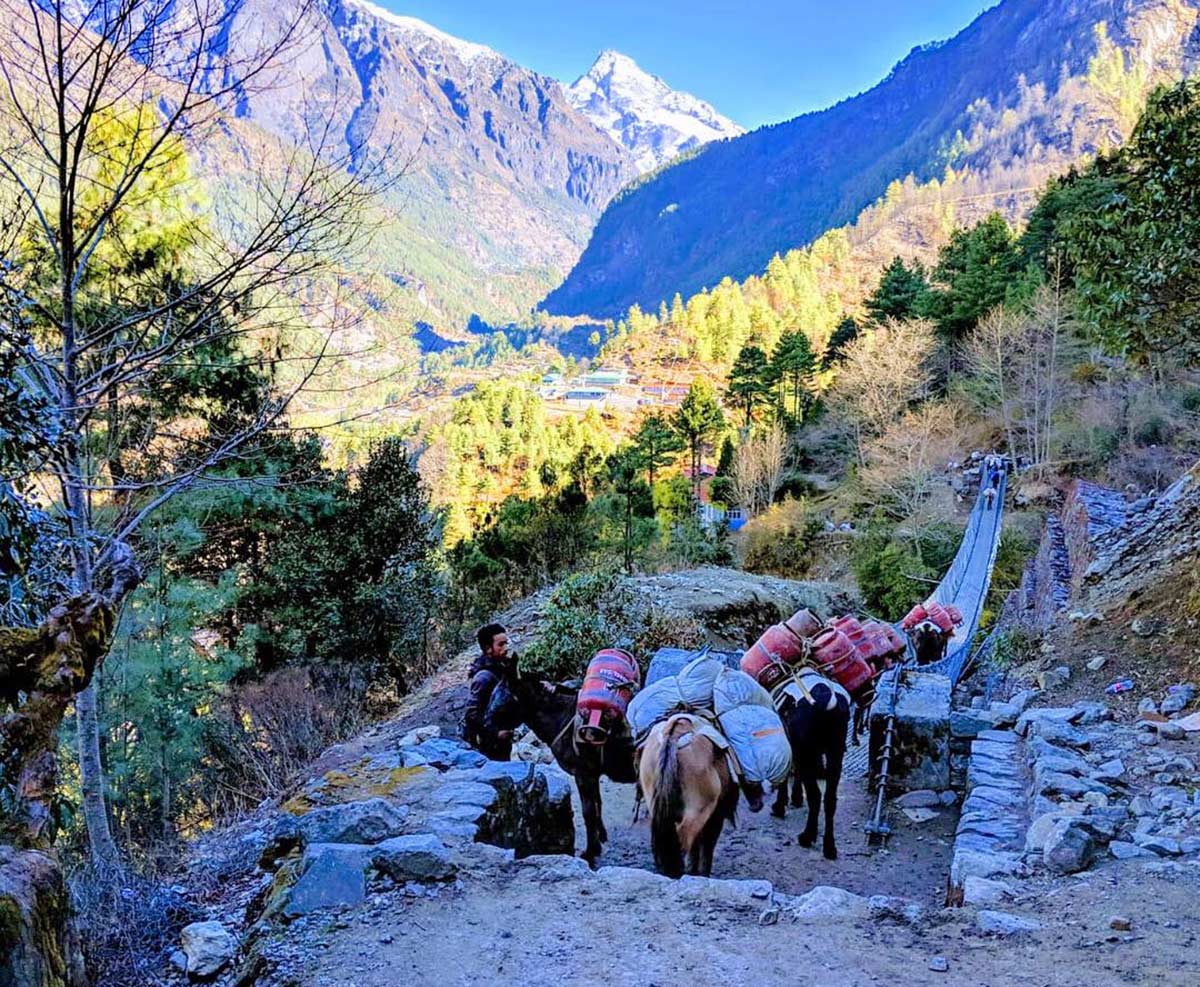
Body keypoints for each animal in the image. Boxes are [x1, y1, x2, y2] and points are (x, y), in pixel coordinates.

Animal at [484, 677, 643, 869]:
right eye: (492, 695)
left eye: (507, 701)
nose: (485, 725)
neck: (563, 718)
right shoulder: (592, 773)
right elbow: (597, 803)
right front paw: (600, 838)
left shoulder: (583, 774)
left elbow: (588, 812)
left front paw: (590, 853)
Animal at [643, 715, 734, 878]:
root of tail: (672, 736)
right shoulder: (715, 816)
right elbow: (706, 845)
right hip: (697, 811)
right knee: (682, 841)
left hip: (656, 805)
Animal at [768, 677, 854, 859]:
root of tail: (827, 701)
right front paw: (795, 798)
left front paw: (780, 805)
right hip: (835, 752)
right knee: (830, 799)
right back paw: (829, 846)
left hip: (809, 751)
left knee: (815, 796)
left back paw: (807, 837)